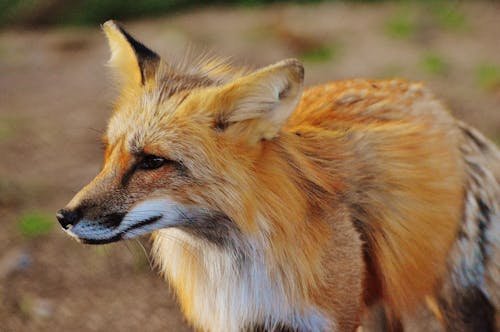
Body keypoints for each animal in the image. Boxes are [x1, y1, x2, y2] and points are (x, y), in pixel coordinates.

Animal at [56, 21, 498, 332]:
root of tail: (443, 110)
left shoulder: (326, 321)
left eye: (151, 161)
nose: (63, 217)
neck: (239, 267)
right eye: (107, 153)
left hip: (451, 299)